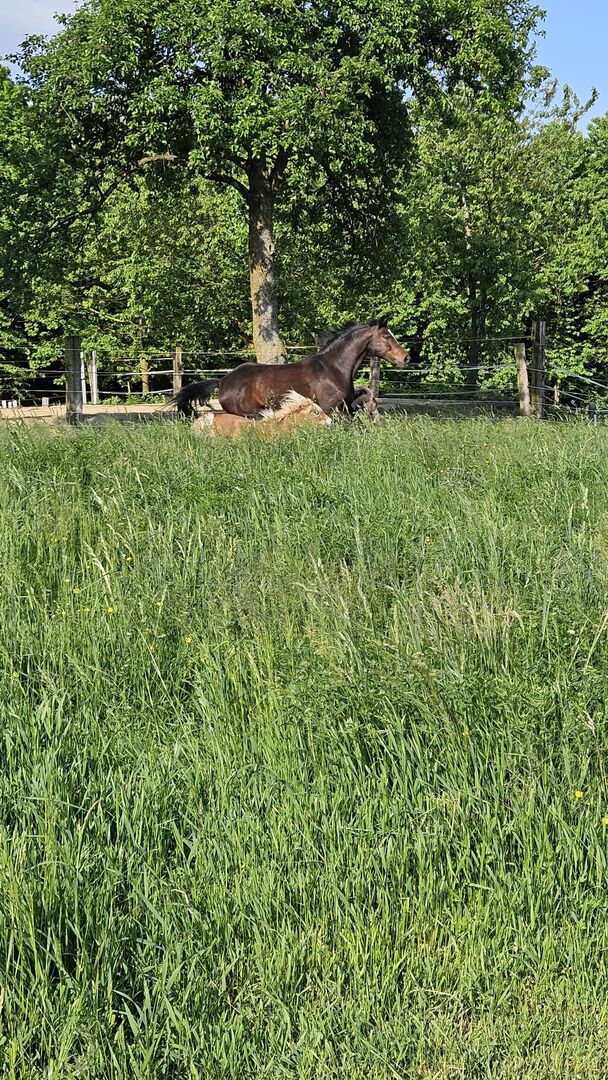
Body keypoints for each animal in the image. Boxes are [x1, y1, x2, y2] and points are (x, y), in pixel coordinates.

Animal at [174, 317, 409, 418]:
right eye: (387, 336)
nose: (406, 358)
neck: (334, 367)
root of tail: (222, 380)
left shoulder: (345, 405)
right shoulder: (330, 409)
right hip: (250, 413)